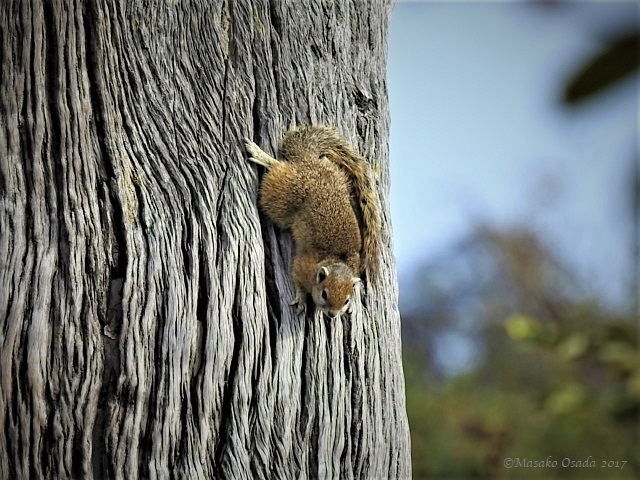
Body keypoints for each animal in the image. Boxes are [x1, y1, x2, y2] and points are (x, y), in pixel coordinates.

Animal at [244, 125, 380, 319]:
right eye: (325, 294)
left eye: (345, 300)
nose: (332, 314)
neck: (333, 261)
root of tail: (309, 162)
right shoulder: (301, 265)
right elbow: (296, 279)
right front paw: (301, 298)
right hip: (284, 196)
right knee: (278, 169)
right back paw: (262, 156)